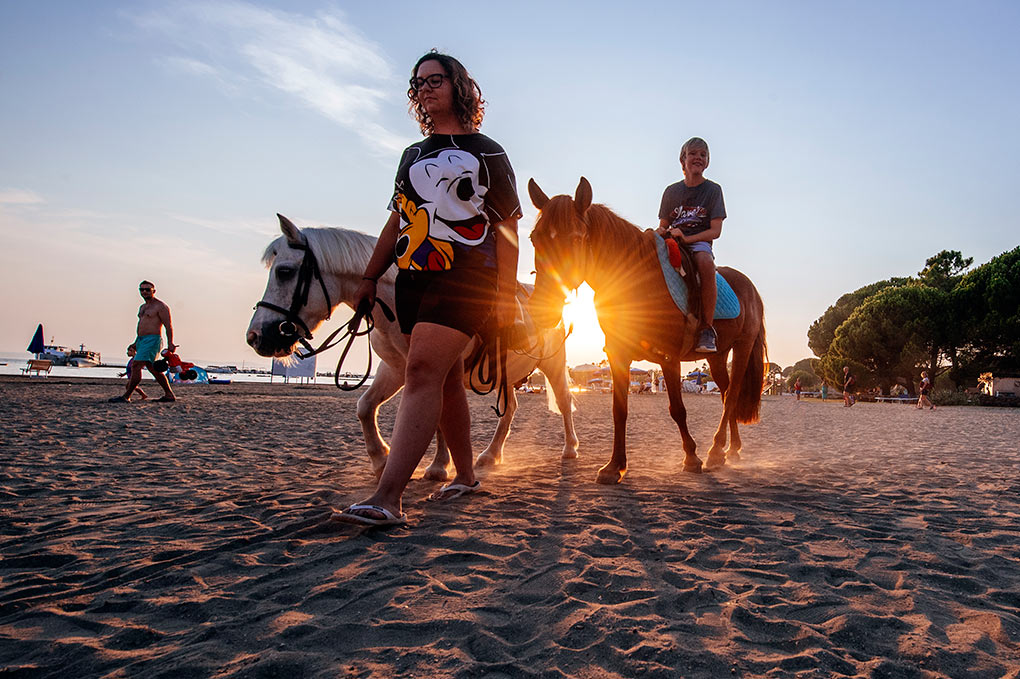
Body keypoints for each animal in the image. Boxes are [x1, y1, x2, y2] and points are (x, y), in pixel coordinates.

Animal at [245, 214, 579, 479]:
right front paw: (381, 460)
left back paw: (570, 450)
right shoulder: (395, 367)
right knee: (509, 411)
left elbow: (439, 419)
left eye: (284, 271)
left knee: (563, 402)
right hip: (504, 372)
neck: (401, 305)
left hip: (551, 365)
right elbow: (365, 406)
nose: (256, 336)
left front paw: (438, 467)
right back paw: (490, 456)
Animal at [530, 174, 762, 481]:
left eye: (576, 238)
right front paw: (615, 466)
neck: (640, 281)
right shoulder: (618, 355)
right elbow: (619, 410)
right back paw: (730, 449)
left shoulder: (669, 357)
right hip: (717, 356)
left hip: (743, 347)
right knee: (726, 395)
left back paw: (715, 451)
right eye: (534, 238)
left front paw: (691, 457)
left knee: (732, 395)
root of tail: (749, 287)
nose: (541, 306)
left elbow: (677, 409)